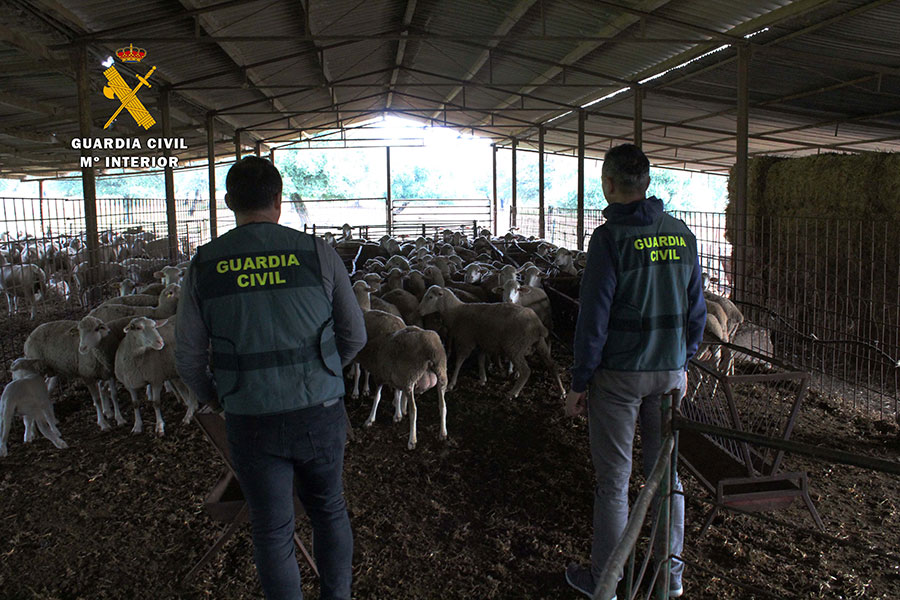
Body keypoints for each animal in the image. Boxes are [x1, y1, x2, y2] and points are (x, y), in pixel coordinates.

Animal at [416, 286, 564, 398]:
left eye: (430, 297)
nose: (419, 311)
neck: (456, 312)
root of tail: (537, 325)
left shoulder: (466, 340)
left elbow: (459, 361)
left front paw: (452, 383)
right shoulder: (482, 341)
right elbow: (481, 359)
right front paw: (483, 379)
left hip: (514, 347)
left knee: (526, 371)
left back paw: (513, 393)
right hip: (539, 343)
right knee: (552, 365)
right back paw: (561, 391)